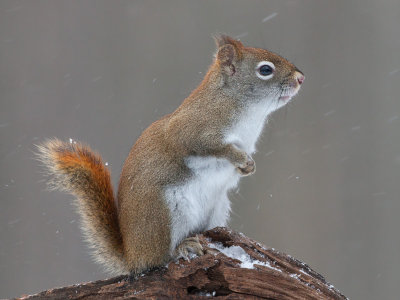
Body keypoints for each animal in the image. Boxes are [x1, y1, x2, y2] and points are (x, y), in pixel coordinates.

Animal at [37, 35, 304, 276]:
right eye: (265, 70)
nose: (301, 78)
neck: (245, 111)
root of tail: (133, 257)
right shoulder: (192, 131)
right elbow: (215, 148)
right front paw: (240, 159)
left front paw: (248, 166)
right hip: (163, 213)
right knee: (159, 258)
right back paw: (181, 248)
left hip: (216, 209)